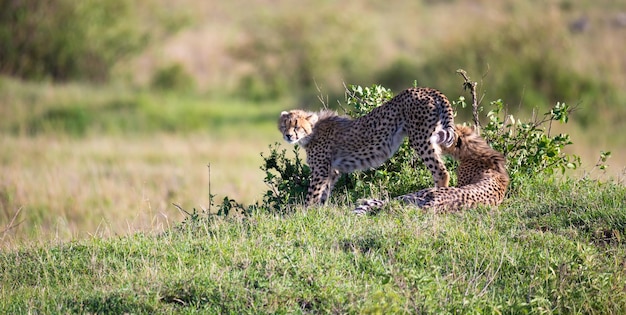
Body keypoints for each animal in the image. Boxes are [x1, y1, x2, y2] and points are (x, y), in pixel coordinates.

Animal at [278, 86, 454, 206]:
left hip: (420, 138)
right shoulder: (331, 171)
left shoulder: (320, 171)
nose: (288, 135)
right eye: (285, 125)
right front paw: (319, 213)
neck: (312, 132)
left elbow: (312, 195)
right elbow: (323, 194)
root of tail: (425, 89)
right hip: (432, 136)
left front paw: (303, 213)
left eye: (297, 126)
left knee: (441, 171)